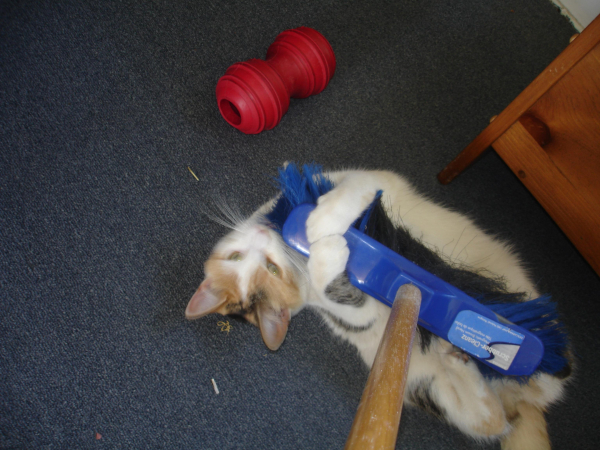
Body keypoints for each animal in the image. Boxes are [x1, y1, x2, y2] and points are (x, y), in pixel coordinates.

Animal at [186, 166, 572, 450]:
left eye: (269, 268)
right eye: (239, 258)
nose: (265, 238)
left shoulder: (375, 180)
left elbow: (353, 188)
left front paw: (320, 222)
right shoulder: (353, 315)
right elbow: (342, 295)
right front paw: (329, 250)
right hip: (429, 388)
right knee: (490, 420)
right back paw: (460, 357)